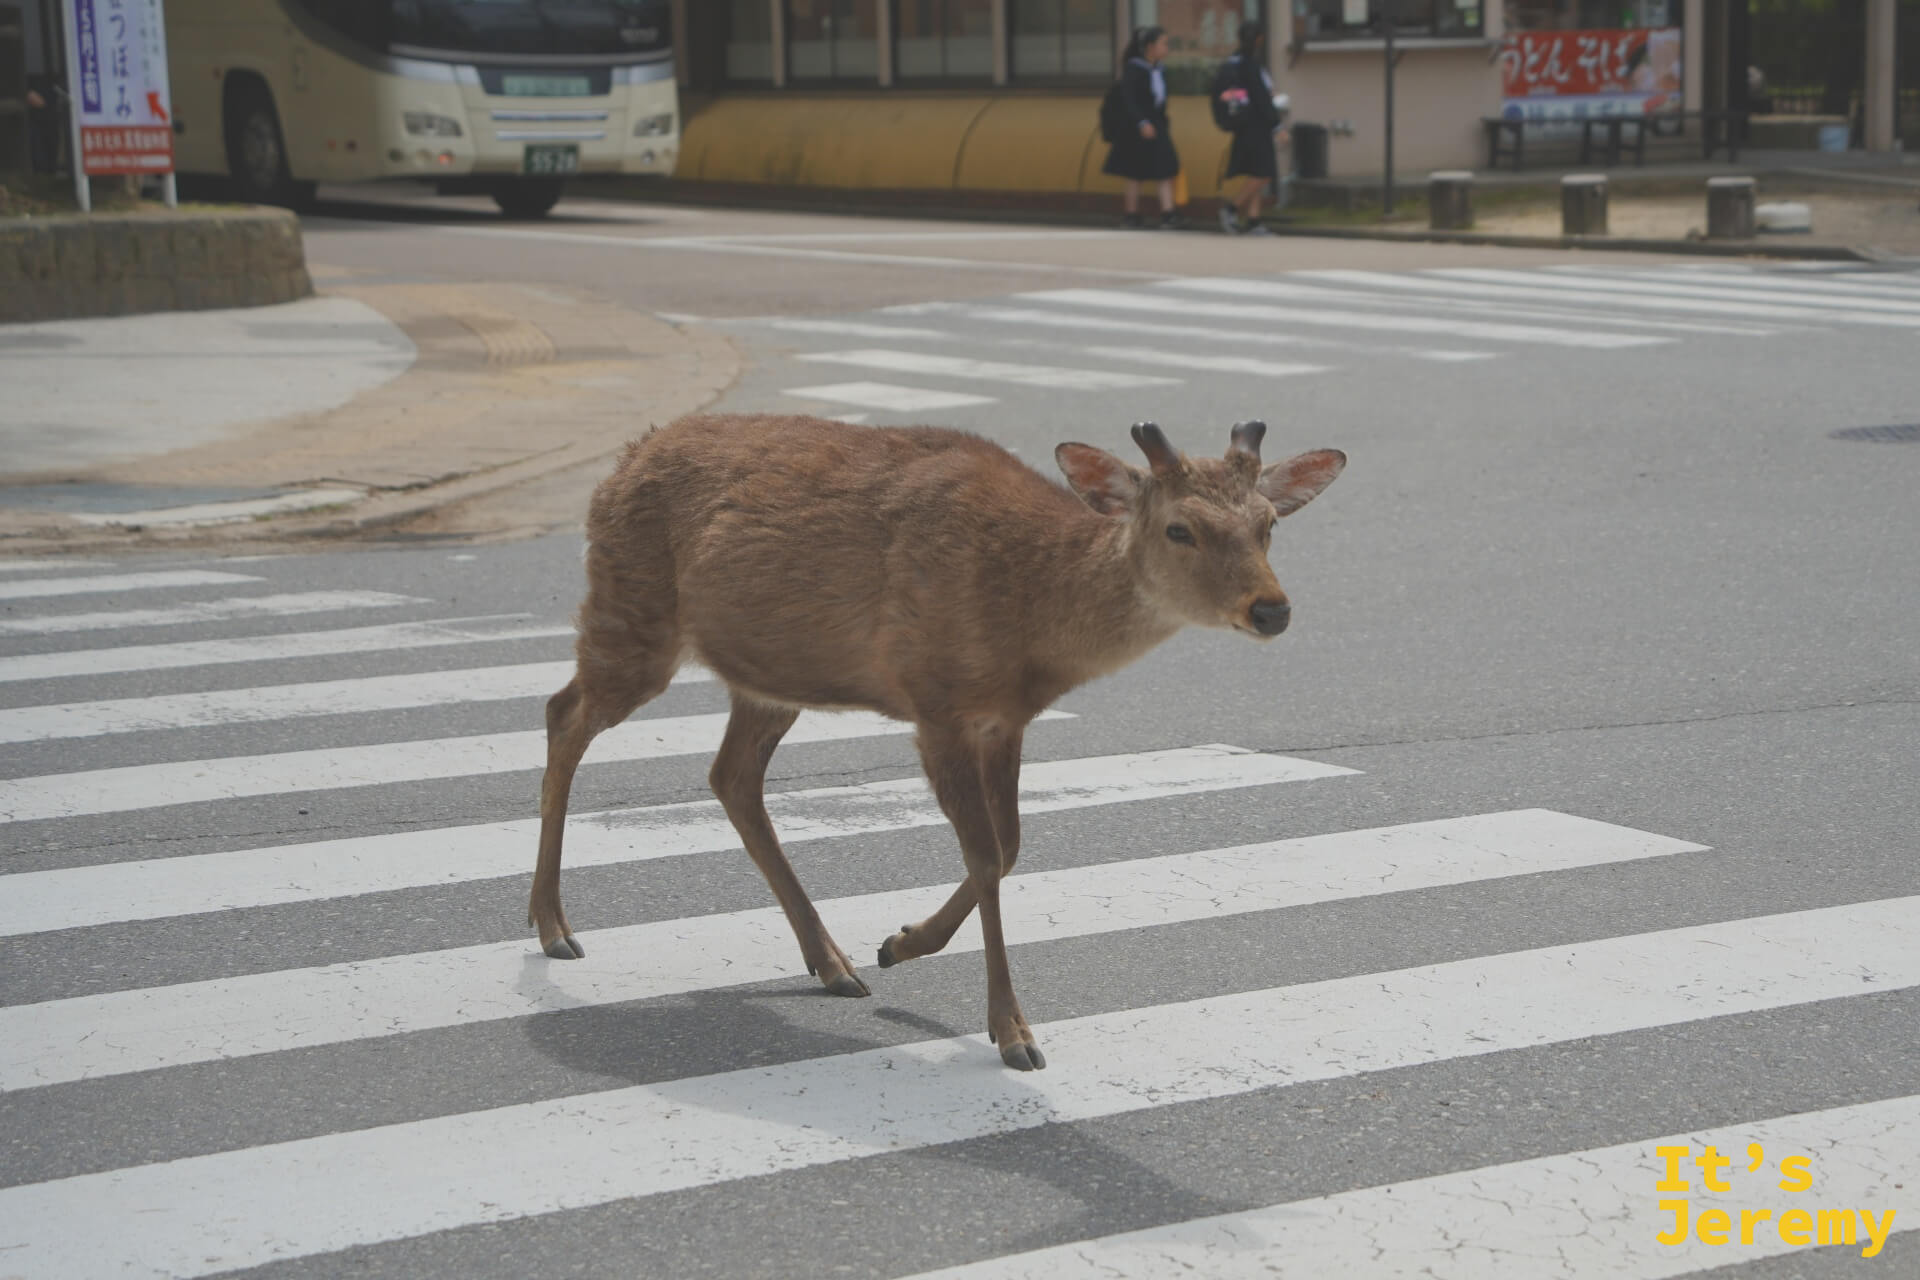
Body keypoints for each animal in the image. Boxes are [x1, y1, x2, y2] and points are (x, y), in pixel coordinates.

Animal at [530, 412, 1345, 1071]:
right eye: (1180, 527)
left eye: (1268, 523)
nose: (1271, 609)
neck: (1033, 625)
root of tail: (626, 459)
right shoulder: (937, 701)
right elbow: (984, 855)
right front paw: (1012, 1032)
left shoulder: (1004, 719)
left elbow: (1009, 848)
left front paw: (899, 943)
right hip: (630, 607)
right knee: (563, 714)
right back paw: (552, 927)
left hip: (767, 675)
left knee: (731, 776)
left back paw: (833, 962)